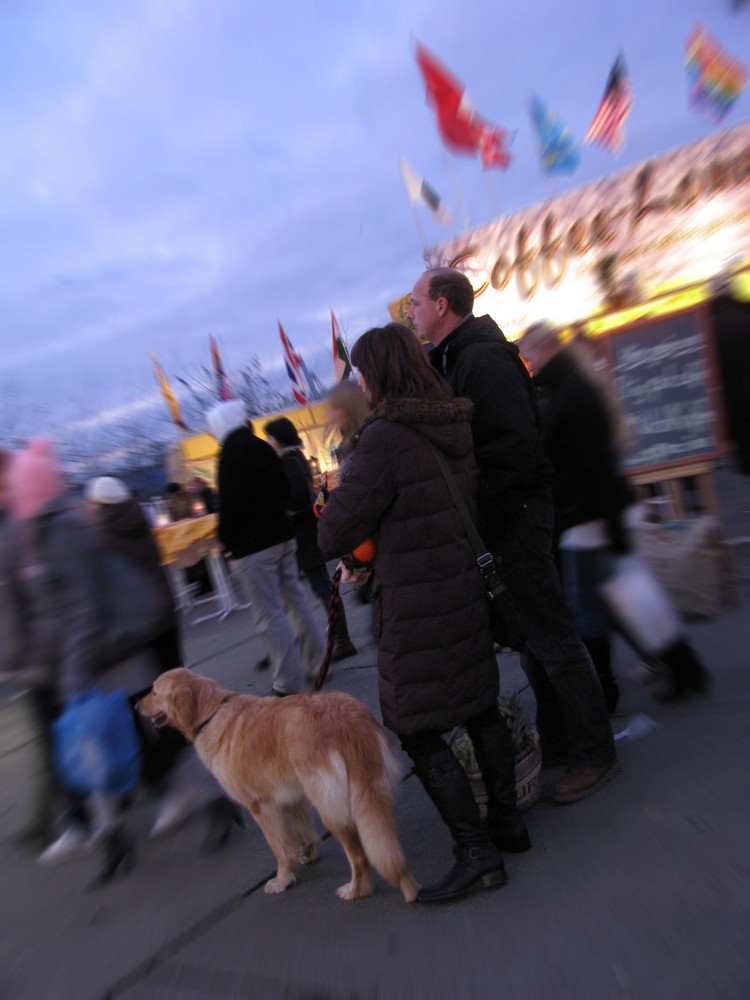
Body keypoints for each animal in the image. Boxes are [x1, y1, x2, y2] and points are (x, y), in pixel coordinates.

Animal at [138, 668, 420, 904]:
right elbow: (301, 831)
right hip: (368, 794)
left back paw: (356, 890)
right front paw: (307, 854)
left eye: (154, 691)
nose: (135, 704)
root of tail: (343, 720)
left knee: (360, 856)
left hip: (329, 807)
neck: (211, 712)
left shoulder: (259, 806)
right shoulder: (291, 796)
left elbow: (279, 848)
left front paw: (283, 879)